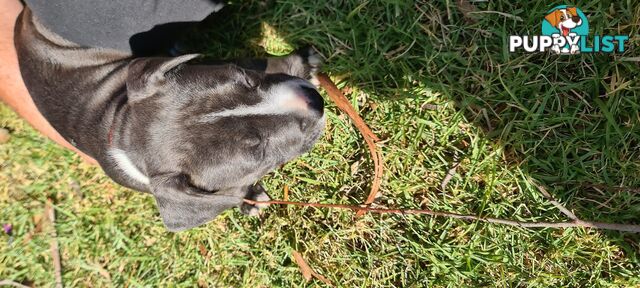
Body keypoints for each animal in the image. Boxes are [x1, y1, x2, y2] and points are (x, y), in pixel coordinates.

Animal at [15, 6, 324, 232]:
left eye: (246, 79)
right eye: (259, 151)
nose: (315, 101)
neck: (123, 126)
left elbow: (268, 62)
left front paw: (302, 61)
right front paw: (249, 199)